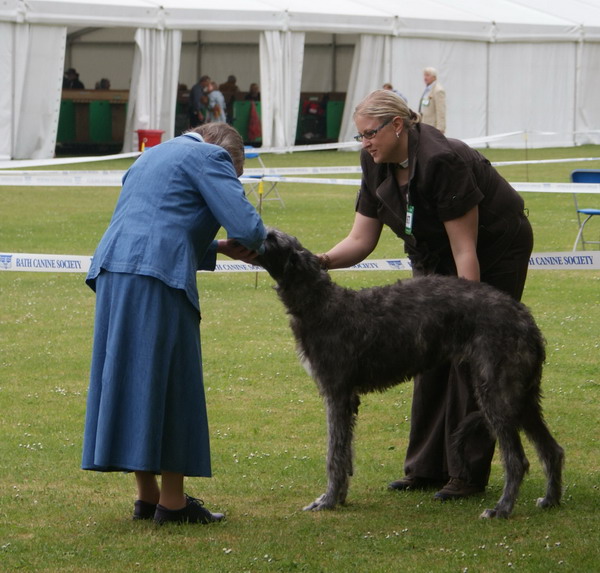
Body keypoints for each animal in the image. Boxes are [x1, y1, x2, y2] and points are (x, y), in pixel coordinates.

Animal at [255, 228, 564, 520]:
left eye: (271, 237)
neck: (319, 303)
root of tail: (527, 320)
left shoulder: (337, 393)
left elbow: (335, 453)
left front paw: (328, 500)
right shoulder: (348, 398)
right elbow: (344, 453)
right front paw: (338, 497)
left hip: (496, 391)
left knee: (517, 460)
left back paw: (502, 508)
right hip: (522, 395)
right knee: (552, 450)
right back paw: (550, 499)